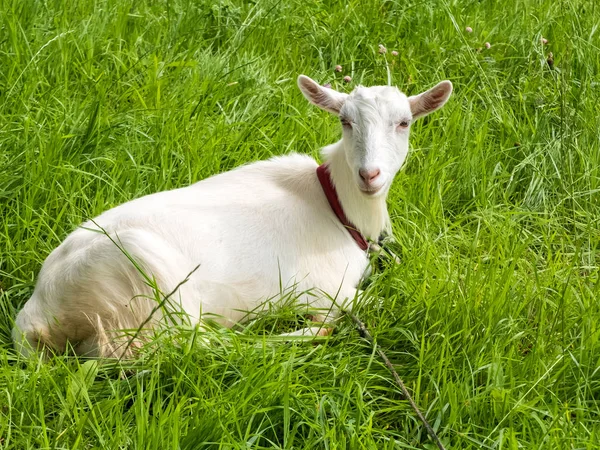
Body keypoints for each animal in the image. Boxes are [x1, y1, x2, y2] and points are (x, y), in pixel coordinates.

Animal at [12, 76, 450, 358]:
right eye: (345, 121)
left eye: (404, 123)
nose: (369, 175)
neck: (336, 206)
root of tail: (36, 314)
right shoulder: (328, 289)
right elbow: (375, 300)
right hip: (146, 280)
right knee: (178, 346)